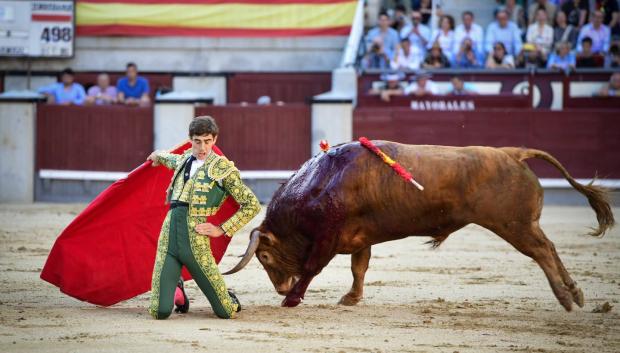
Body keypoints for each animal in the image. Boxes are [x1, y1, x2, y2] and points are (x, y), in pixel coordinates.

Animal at [224, 140, 616, 310]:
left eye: (266, 259)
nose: (279, 287)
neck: (320, 183)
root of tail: (511, 153)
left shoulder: (327, 238)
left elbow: (311, 268)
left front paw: (292, 299)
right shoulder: (358, 237)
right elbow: (359, 268)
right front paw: (351, 298)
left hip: (514, 225)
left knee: (543, 251)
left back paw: (566, 298)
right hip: (521, 224)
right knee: (550, 248)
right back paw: (576, 293)